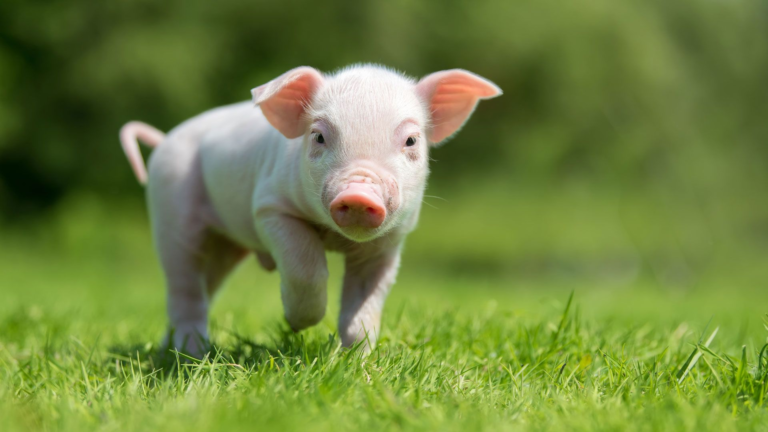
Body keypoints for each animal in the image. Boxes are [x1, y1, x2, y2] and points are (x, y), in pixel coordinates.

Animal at [120, 65, 501, 356]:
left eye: (411, 140)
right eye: (318, 137)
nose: (359, 193)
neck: (335, 238)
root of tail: (164, 139)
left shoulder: (391, 241)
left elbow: (365, 303)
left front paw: (360, 361)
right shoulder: (270, 208)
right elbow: (307, 267)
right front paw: (297, 325)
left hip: (225, 246)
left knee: (204, 286)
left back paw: (171, 348)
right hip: (171, 213)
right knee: (183, 287)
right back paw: (191, 353)